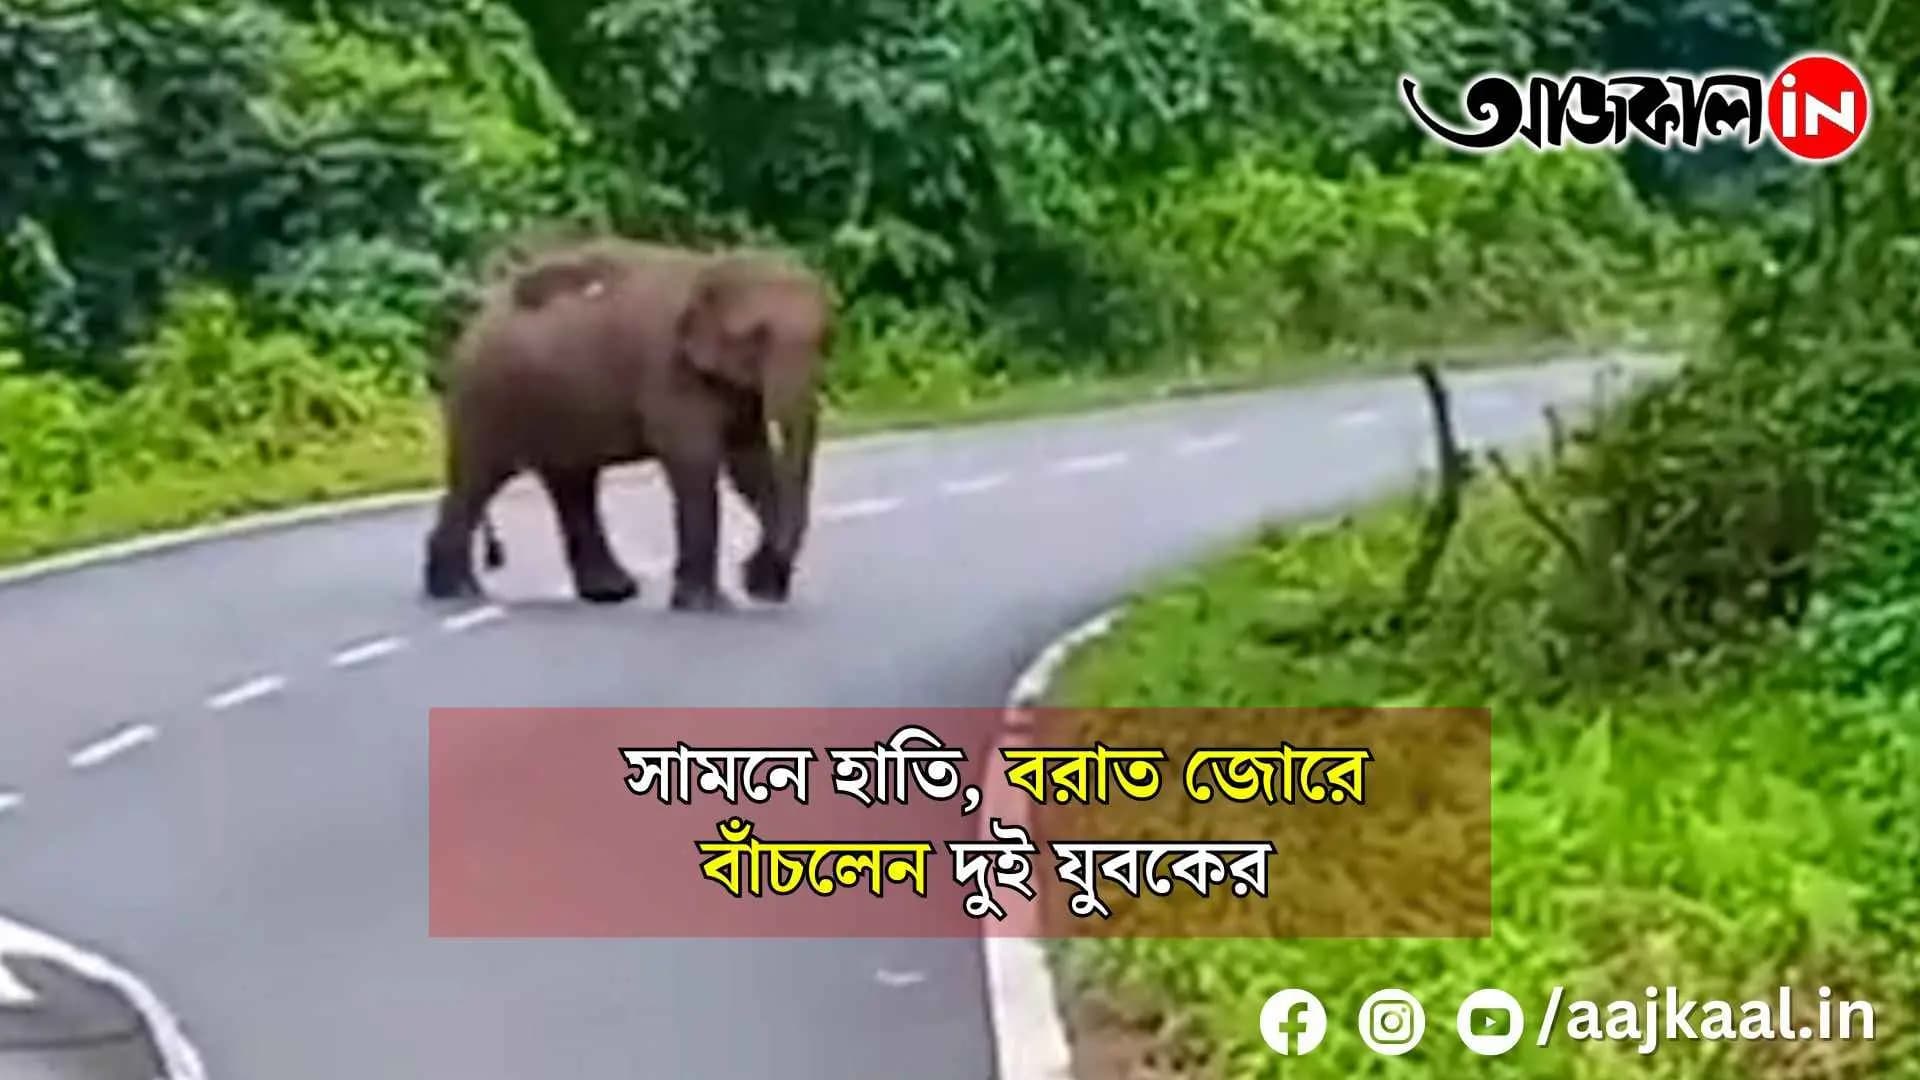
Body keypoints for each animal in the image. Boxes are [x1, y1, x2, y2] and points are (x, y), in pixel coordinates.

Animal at [423, 238, 833, 612]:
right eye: (757, 335)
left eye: (823, 340)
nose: (752, 575)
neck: (711, 268)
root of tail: (472, 323)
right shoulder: (670, 373)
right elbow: (696, 463)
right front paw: (707, 605)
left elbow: (749, 466)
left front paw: (760, 590)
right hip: (487, 399)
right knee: (479, 478)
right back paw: (458, 593)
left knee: (571, 483)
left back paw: (609, 593)